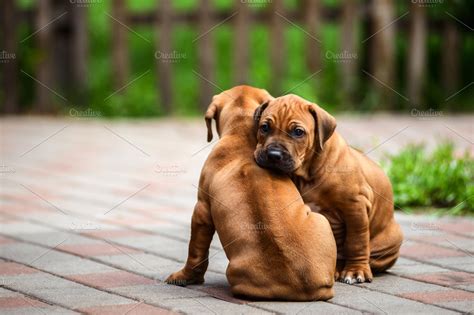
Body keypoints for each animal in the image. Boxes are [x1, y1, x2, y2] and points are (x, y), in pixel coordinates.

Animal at [167, 87, 336, 302]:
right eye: (265, 127)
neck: (240, 131)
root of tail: (306, 288)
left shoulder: (202, 209)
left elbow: (196, 252)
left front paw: (185, 277)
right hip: (321, 221)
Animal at [256, 95, 404, 286]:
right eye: (265, 127)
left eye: (298, 132)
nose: (274, 155)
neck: (308, 172)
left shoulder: (356, 206)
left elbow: (357, 241)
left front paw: (356, 270)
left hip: (391, 240)